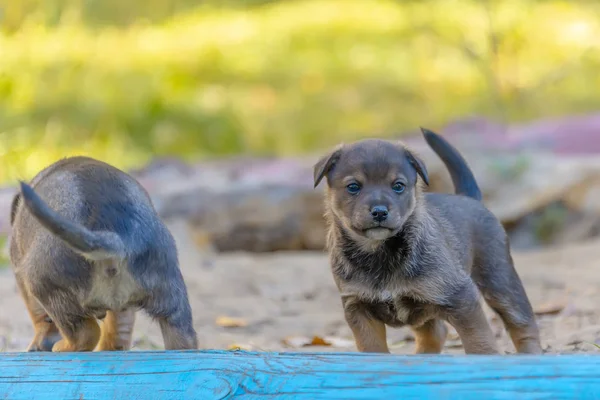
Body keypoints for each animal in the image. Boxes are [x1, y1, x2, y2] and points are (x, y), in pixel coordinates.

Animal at [9, 156, 197, 350]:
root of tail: (117, 240)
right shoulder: (123, 310)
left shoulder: (21, 275)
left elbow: (39, 318)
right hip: (172, 304)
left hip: (44, 285)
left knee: (87, 334)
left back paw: (60, 347)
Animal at [314, 130, 544, 354]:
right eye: (353, 187)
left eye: (398, 186)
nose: (379, 212)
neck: (379, 252)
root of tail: (470, 199)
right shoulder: (359, 308)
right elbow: (372, 349)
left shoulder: (461, 297)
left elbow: (479, 342)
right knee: (435, 333)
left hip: (500, 284)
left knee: (524, 326)